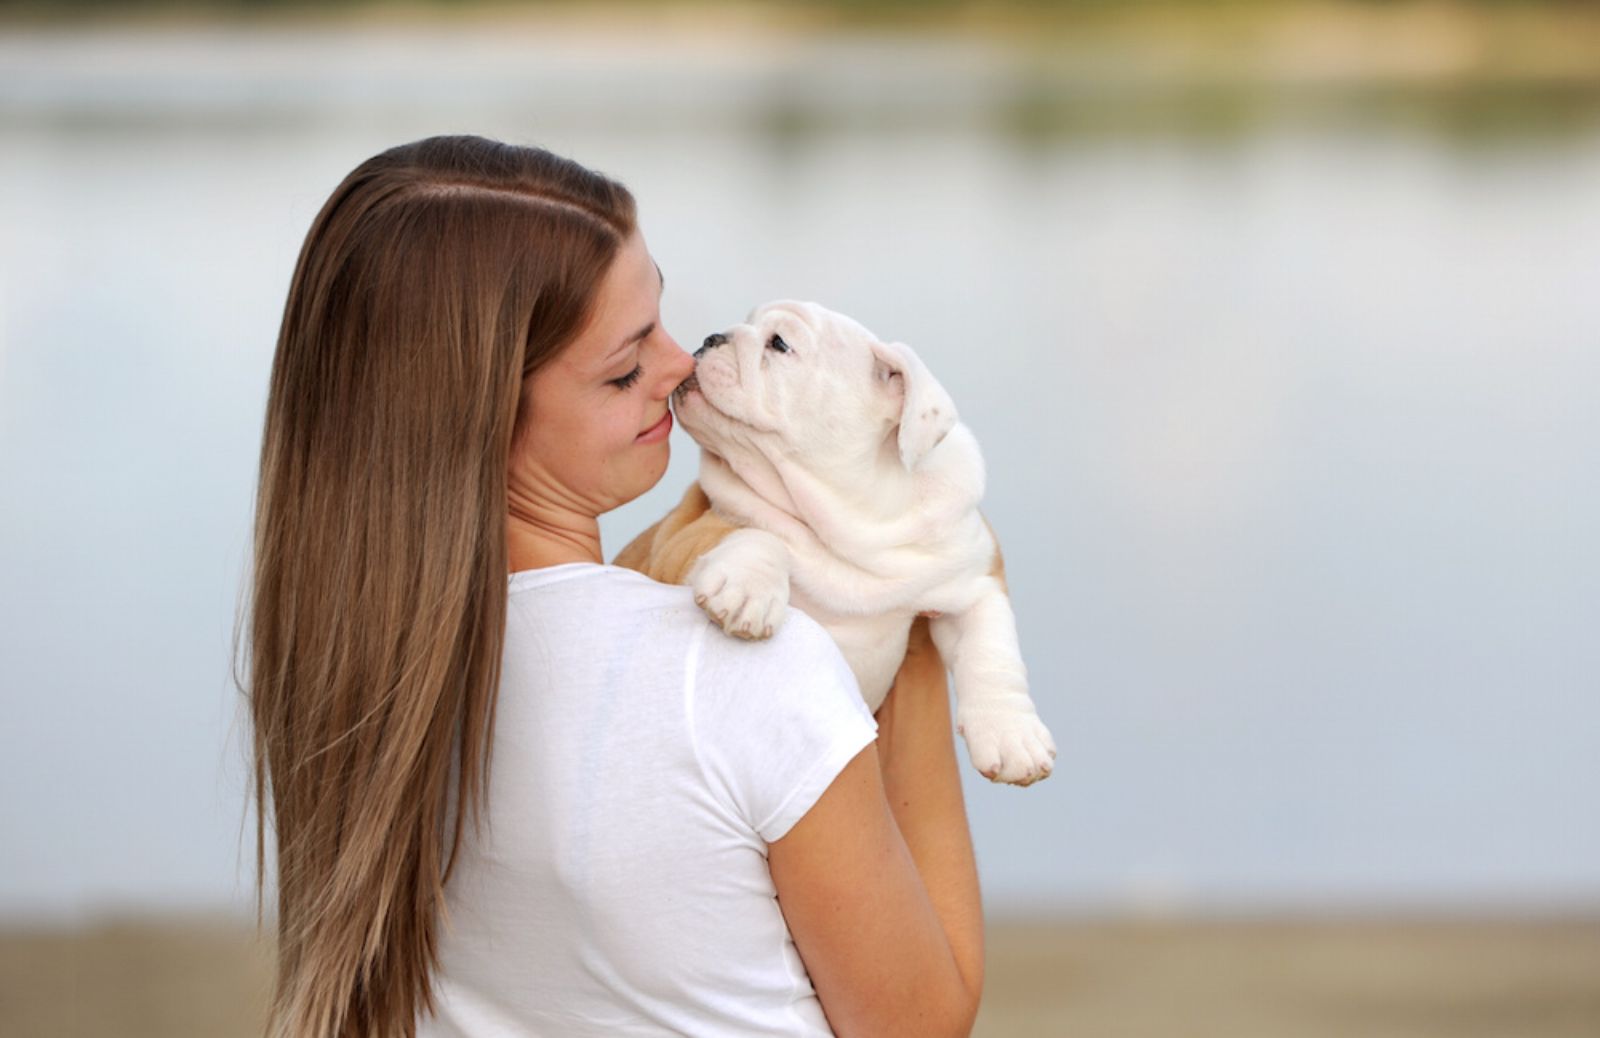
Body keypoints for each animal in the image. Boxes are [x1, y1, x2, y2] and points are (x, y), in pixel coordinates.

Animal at [608, 299, 1049, 786]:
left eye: (780, 344)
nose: (712, 338)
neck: (853, 518)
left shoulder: (975, 575)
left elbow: (991, 645)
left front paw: (1012, 735)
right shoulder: (677, 538)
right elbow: (758, 532)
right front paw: (746, 589)